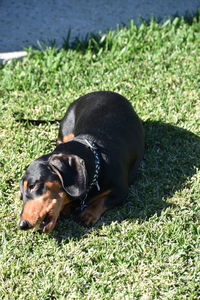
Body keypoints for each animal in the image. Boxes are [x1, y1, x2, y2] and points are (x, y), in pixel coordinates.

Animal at [18, 91, 145, 232]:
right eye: (21, 195)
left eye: (32, 186)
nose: (22, 224)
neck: (97, 158)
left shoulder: (121, 191)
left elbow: (104, 200)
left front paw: (89, 214)